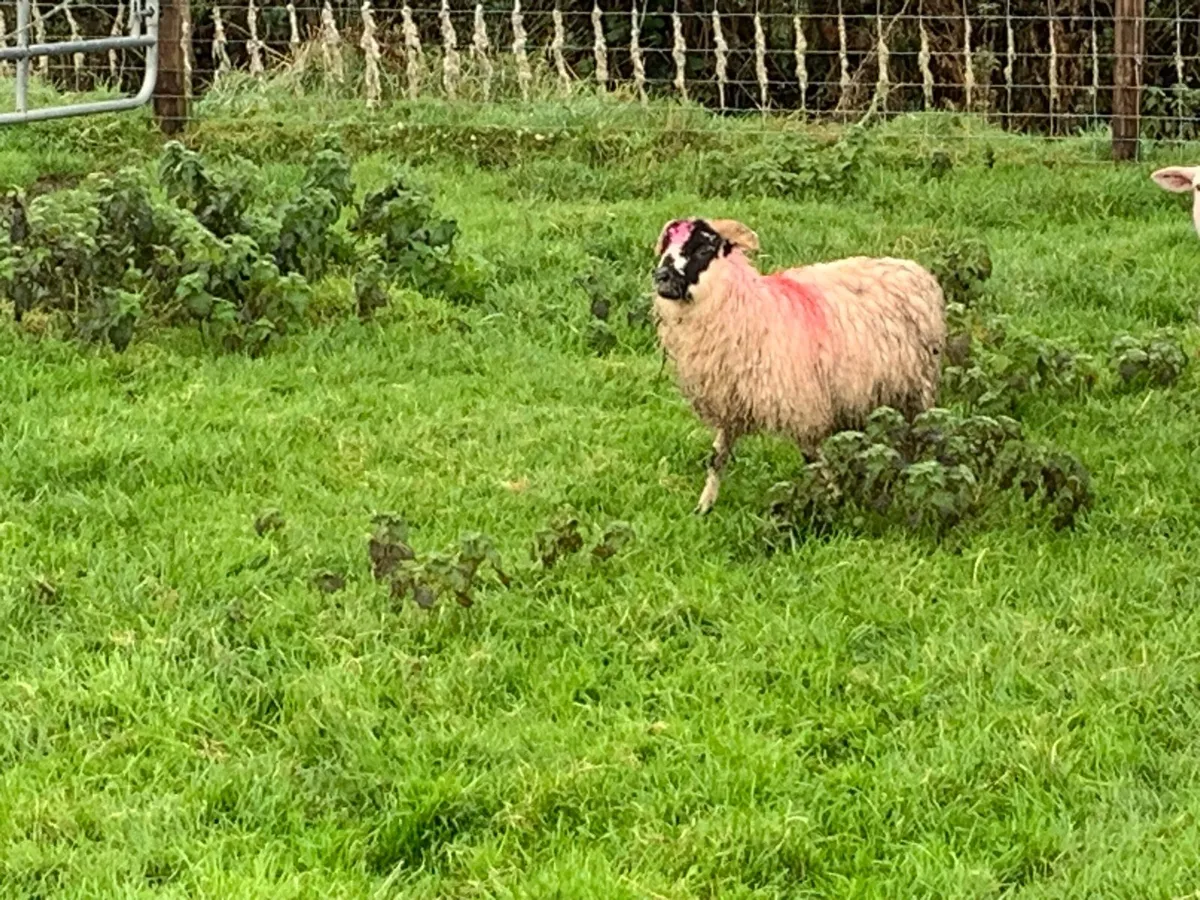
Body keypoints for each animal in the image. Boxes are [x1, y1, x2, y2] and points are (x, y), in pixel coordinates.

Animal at [652, 217, 946, 514]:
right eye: (666, 246)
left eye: (703, 249)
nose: (661, 277)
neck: (747, 309)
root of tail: (915, 270)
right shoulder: (732, 402)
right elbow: (716, 457)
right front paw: (703, 507)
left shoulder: (802, 405)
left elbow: (812, 459)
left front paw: (835, 500)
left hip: (917, 390)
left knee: (917, 437)